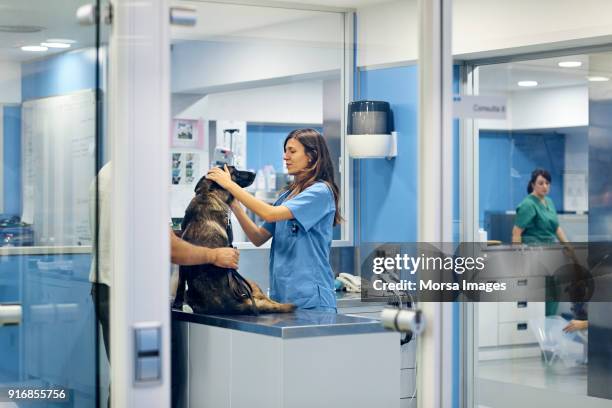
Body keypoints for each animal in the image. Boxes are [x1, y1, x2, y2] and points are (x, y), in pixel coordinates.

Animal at [172, 166, 296, 316]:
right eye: (235, 172)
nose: (254, 173)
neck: (208, 193)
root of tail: (233, 305)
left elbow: (179, 286)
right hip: (249, 283)